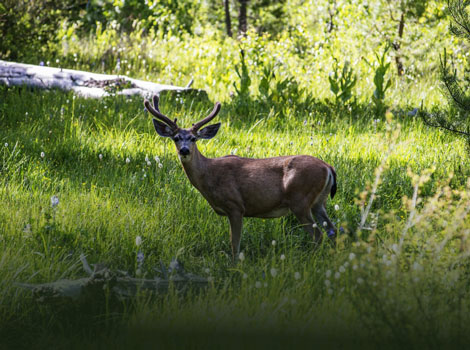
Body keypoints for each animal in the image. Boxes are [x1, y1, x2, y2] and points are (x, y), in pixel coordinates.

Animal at [144, 95, 338, 260]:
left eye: (193, 138)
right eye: (176, 138)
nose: (184, 150)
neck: (209, 175)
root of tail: (328, 167)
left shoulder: (235, 206)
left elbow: (234, 245)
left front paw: (235, 267)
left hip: (300, 200)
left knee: (319, 235)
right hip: (318, 202)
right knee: (333, 231)